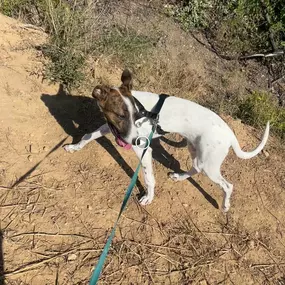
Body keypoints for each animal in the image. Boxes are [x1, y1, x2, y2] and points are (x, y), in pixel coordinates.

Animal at [63, 69, 268, 211]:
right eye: (121, 116)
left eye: (136, 116)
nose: (135, 140)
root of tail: (230, 133)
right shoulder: (114, 129)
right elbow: (88, 136)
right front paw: (74, 147)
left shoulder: (144, 149)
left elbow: (148, 178)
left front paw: (149, 197)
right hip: (195, 150)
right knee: (195, 168)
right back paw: (179, 176)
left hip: (209, 165)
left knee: (227, 185)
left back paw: (225, 205)